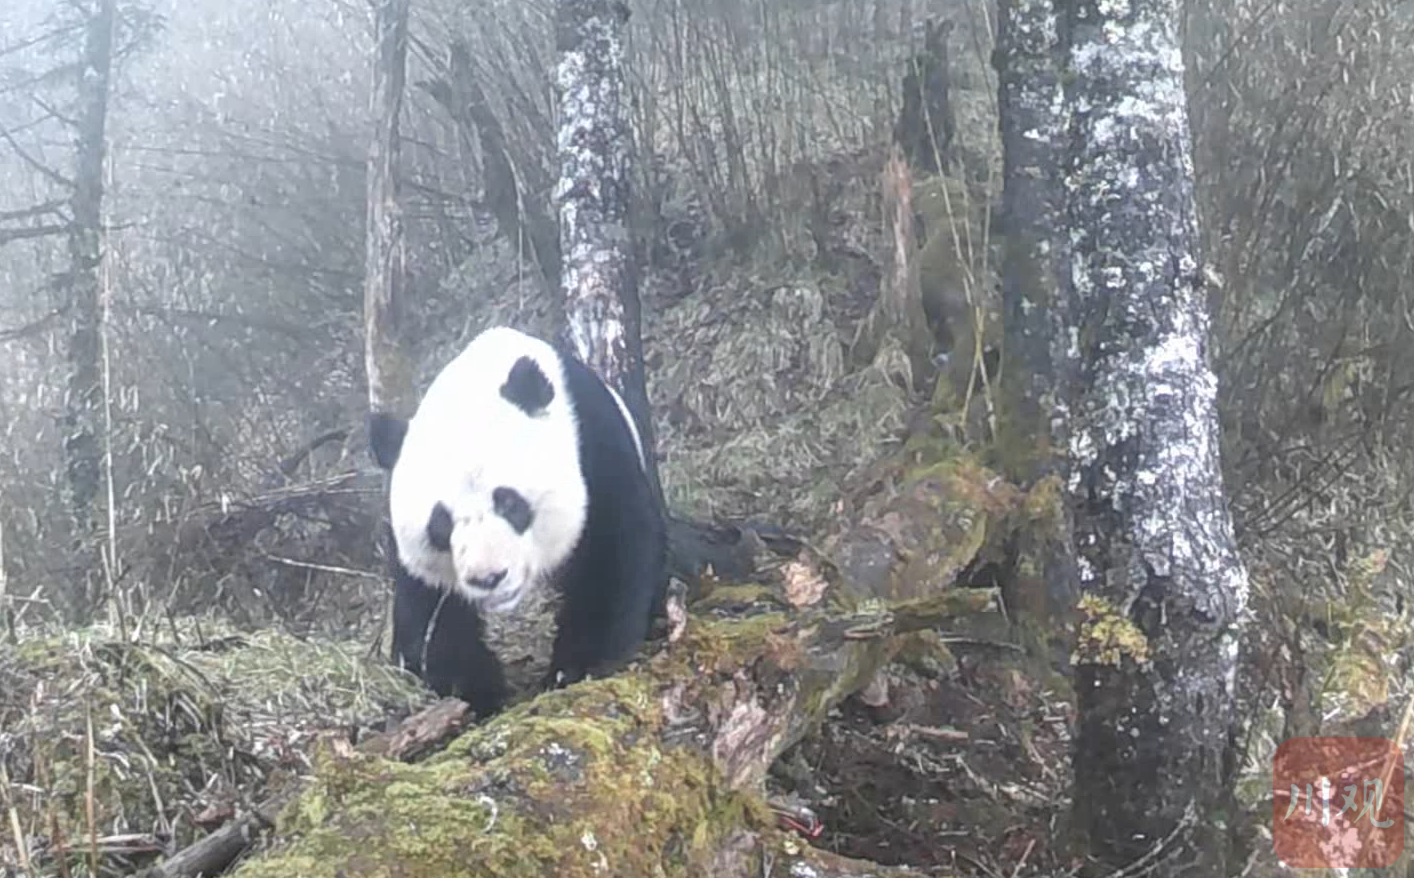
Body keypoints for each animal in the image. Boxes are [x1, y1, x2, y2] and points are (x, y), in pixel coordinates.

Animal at [370, 325, 667, 715]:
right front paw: (472, 687)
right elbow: (429, 606)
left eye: (509, 502)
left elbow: (613, 546)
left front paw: (577, 665)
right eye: (441, 525)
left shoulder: (593, 441)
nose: (488, 578)